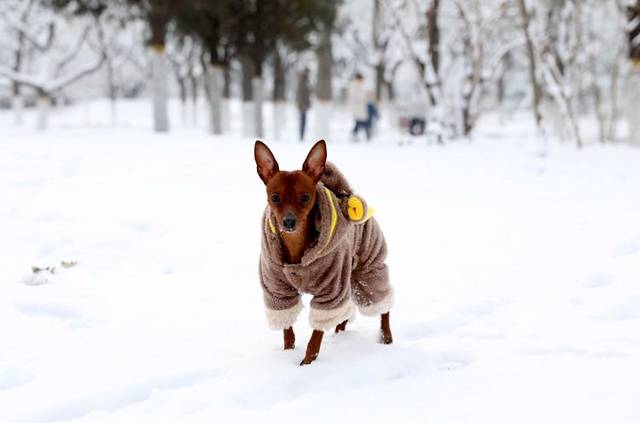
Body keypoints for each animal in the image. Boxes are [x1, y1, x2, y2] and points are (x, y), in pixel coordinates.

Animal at [255, 141, 396, 366]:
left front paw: (307, 362)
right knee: (347, 309)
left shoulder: (330, 292)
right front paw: (288, 351)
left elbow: (316, 334)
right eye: (274, 198)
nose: (288, 222)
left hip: (368, 271)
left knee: (382, 306)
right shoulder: (278, 292)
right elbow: (287, 327)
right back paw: (340, 331)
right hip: (348, 279)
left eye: (305, 197)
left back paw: (386, 337)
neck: (297, 248)